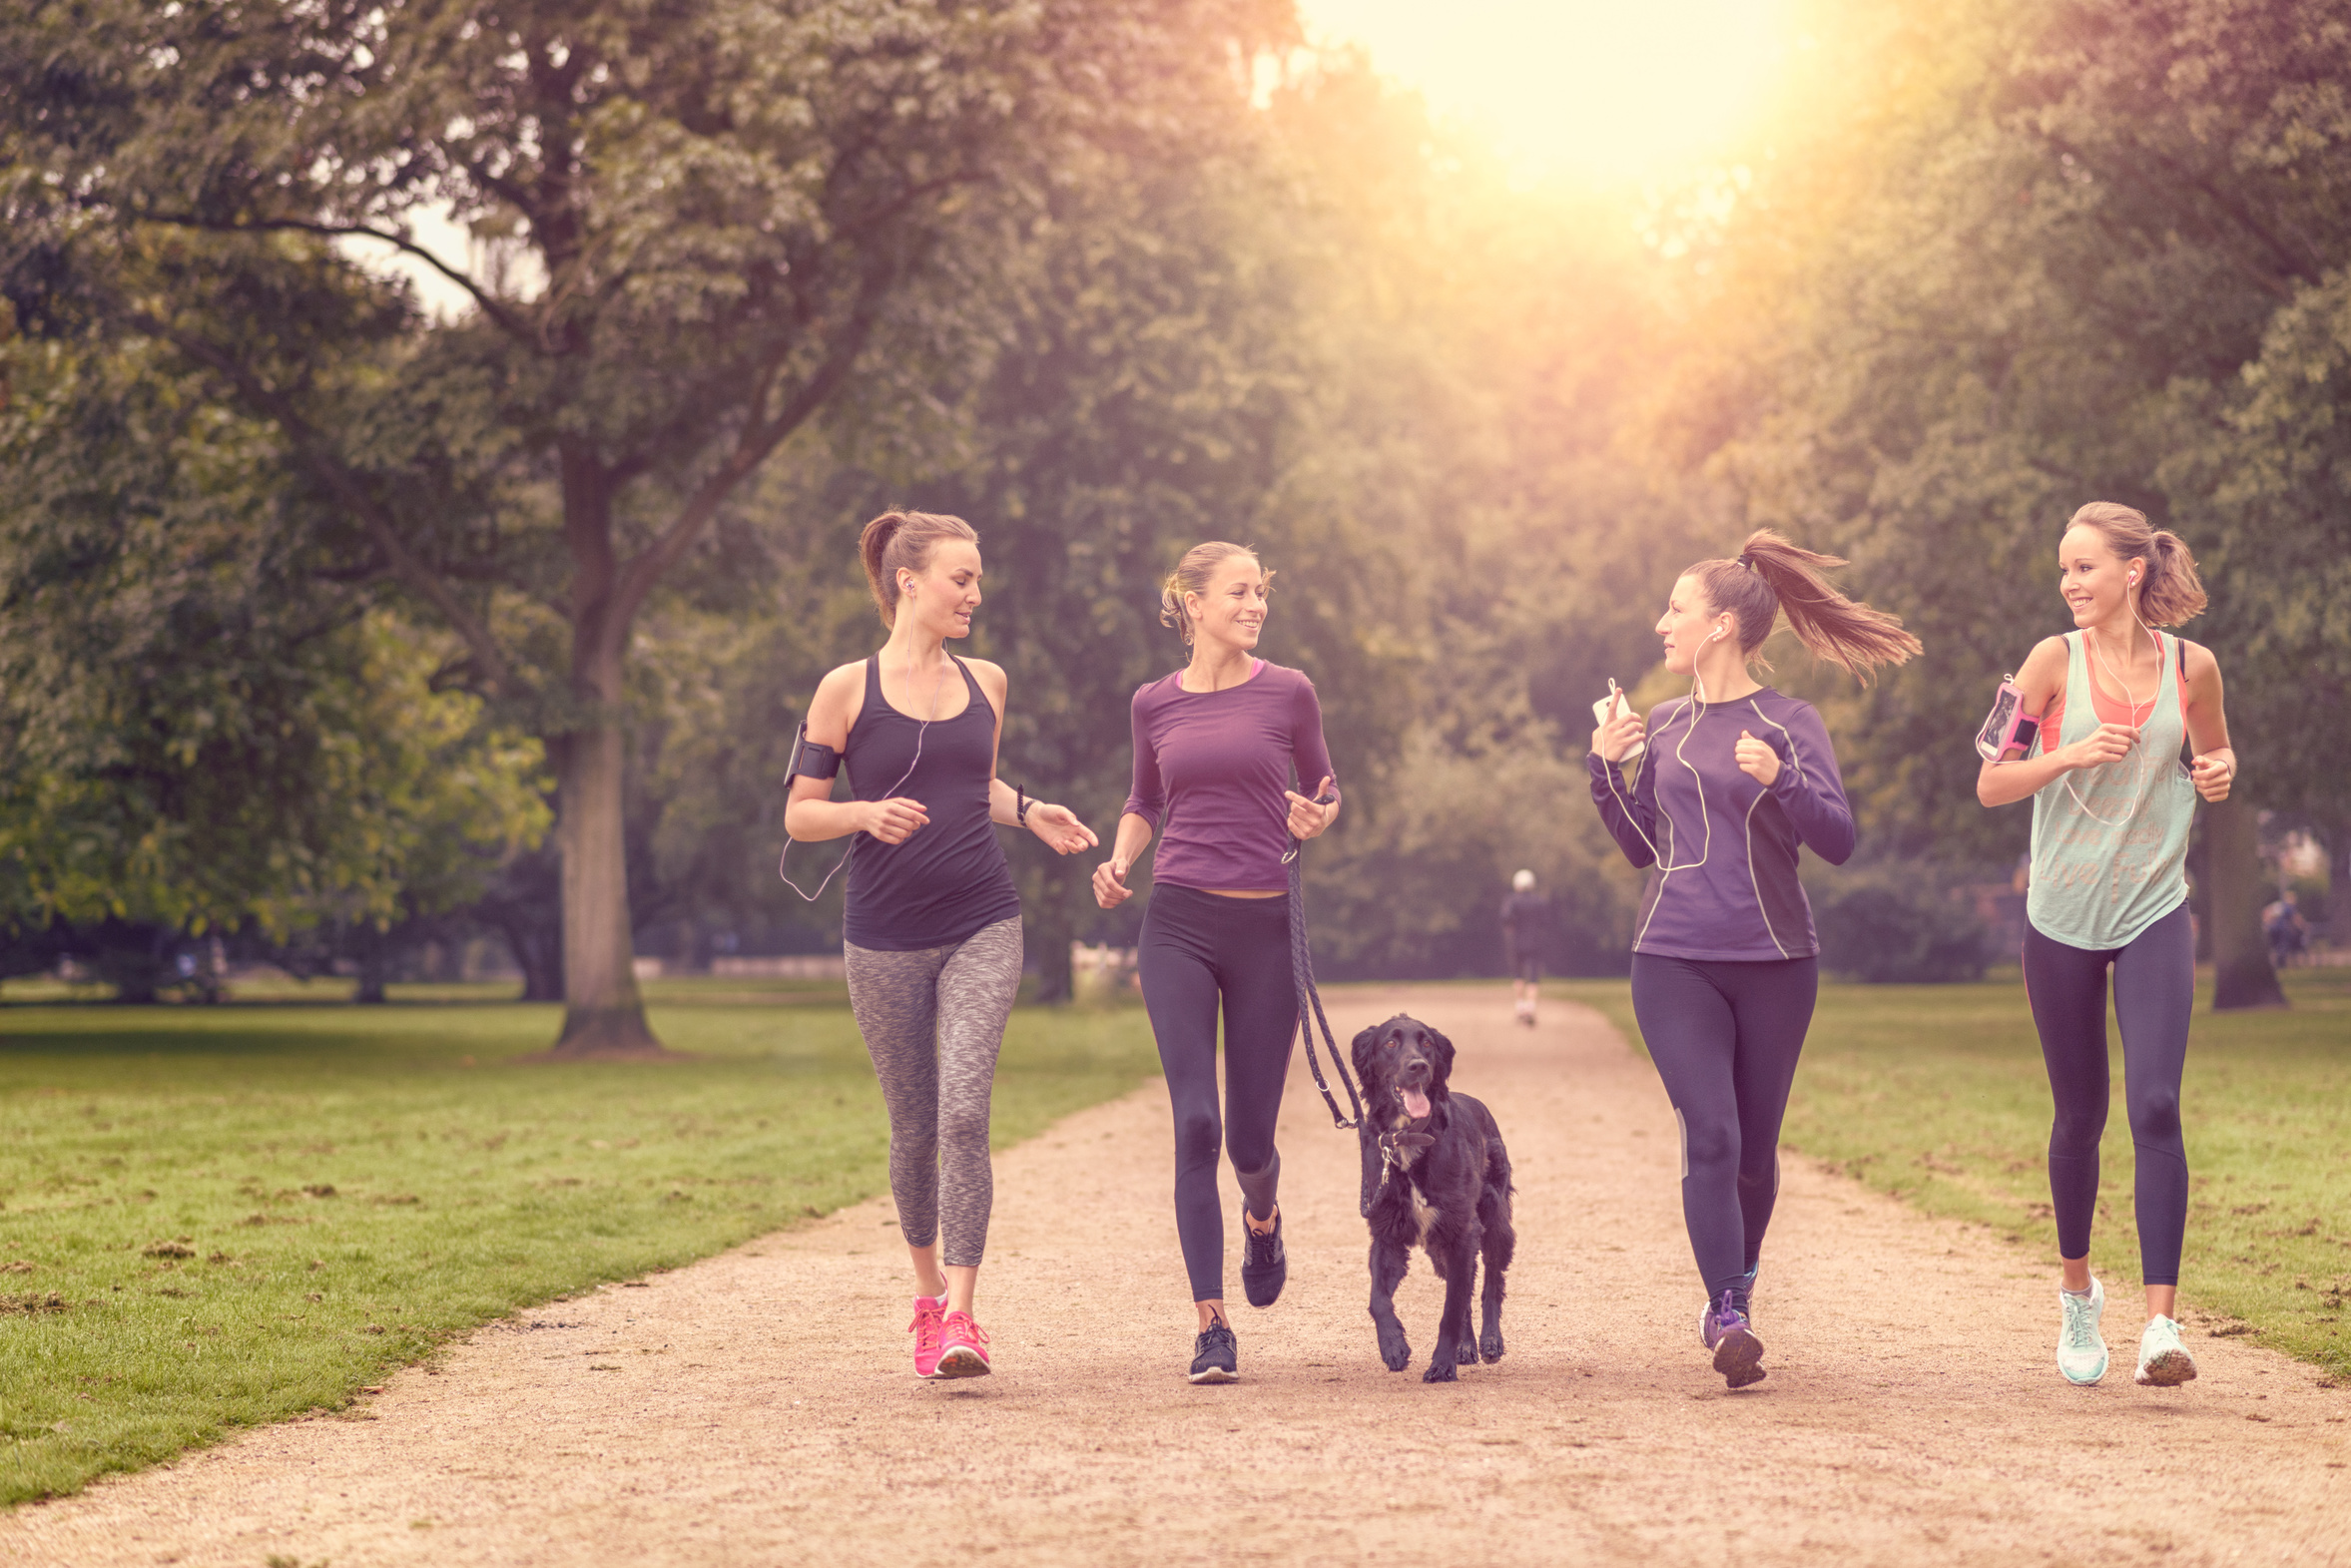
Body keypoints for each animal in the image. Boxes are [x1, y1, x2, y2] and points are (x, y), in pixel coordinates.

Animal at [1354, 1010, 1513, 1381]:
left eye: (1426, 1042)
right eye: (1390, 1043)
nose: (1418, 1066)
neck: (1409, 1138)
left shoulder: (1463, 1229)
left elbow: (1451, 1308)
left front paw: (1441, 1364)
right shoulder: (1387, 1232)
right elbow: (1377, 1298)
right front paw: (1393, 1346)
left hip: (1494, 1219)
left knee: (1490, 1282)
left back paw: (1489, 1341)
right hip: (1439, 1245)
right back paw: (1466, 1346)